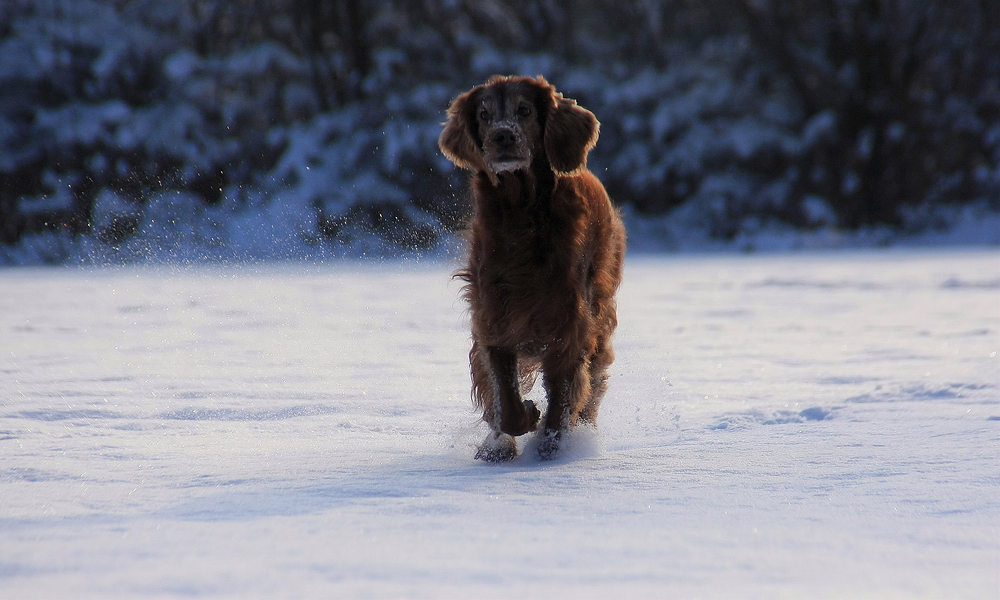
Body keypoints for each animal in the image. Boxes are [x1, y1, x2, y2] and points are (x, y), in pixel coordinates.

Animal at [440, 74, 624, 460]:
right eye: (484, 115)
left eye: (524, 111)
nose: (503, 136)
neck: (521, 213)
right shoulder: (494, 319)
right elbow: (505, 399)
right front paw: (519, 422)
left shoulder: (569, 326)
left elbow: (563, 397)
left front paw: (551, 443)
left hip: (600, 319)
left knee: (594, 383)